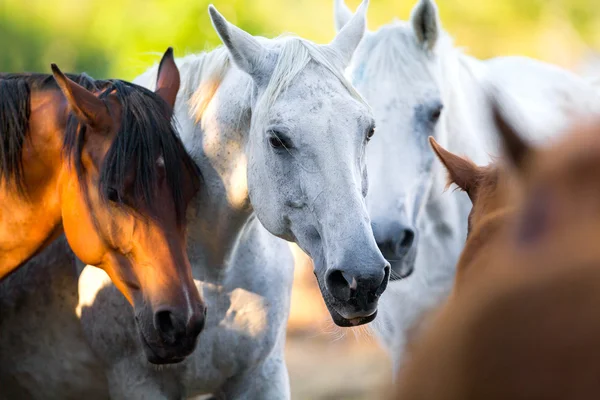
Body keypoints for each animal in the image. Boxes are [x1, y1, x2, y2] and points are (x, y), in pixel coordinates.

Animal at [74, 1, 390, 398]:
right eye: (277, 138)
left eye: (369, 131)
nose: (362, 280)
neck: (212, 272)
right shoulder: (137, 382)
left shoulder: (263, 375)